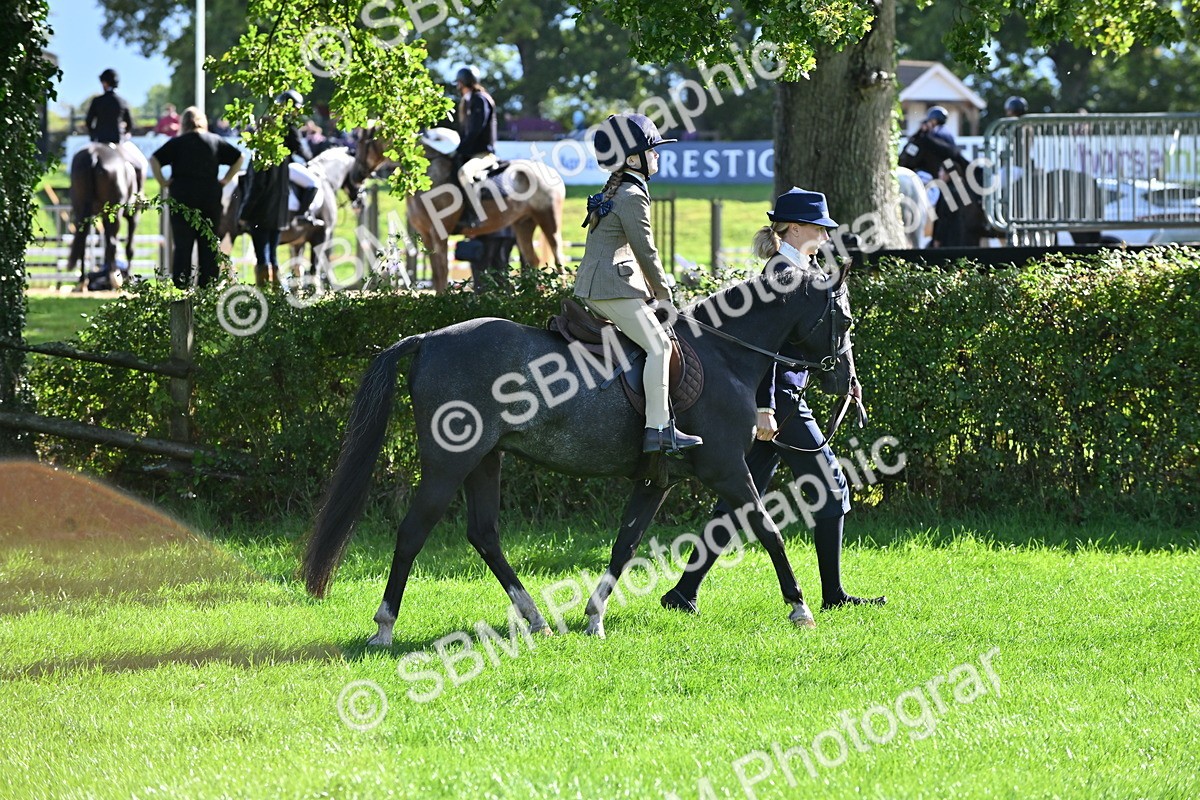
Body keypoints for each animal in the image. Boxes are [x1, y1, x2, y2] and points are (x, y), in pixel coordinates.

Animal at [67, 143, 144, 289]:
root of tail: (93, 154)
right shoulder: (133, 217)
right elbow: (129, 248)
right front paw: (128, 278)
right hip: (115, 213)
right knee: (112, 245)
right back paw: (115, 279)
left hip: (81, 211)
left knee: (82, 243)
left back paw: (82, 281)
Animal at [303, 264, 859, 645]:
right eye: (847, 318)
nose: (844, 380)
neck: (725, 353)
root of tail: (429, 339)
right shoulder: (727, 469)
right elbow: (767, 530)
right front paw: (800, 608)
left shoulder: (656, 480)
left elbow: (624, 545)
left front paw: (594, 617)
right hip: (448, 464)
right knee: (413, 533)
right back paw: (384, 627)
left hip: (485, 460)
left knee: (484, 535)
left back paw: (534, 619)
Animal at [355, 128, 565, 293]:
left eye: (363, 141)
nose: (357, 173)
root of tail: (551, 172)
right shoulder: (426, 235)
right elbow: (436, 272)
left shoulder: (439, 234)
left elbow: (442, 270)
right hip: (523, 224)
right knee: (533, 260)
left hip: (549, 220)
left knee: (558, 259)